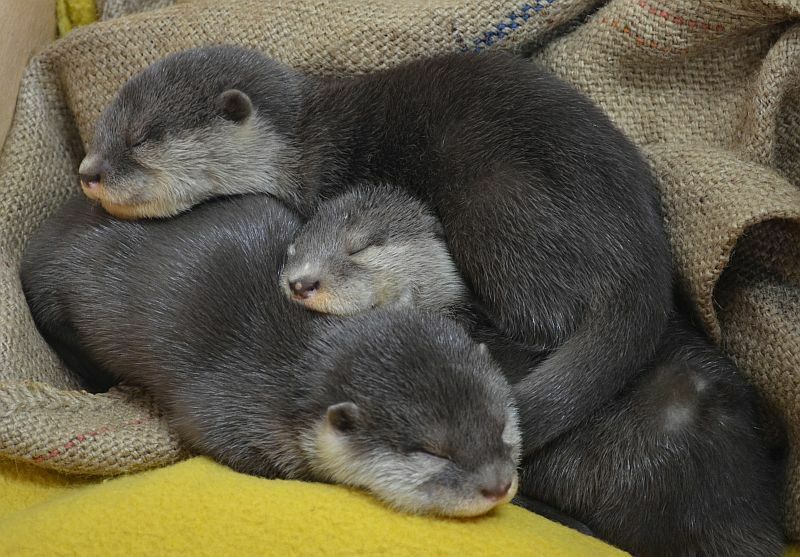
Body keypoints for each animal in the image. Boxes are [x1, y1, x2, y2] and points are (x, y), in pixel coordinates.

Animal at [76, 45, 676, 454]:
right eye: (101, 128)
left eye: (140, 138)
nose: (88, 171)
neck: (302, 150)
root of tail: (642, 259)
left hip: (500, 210)